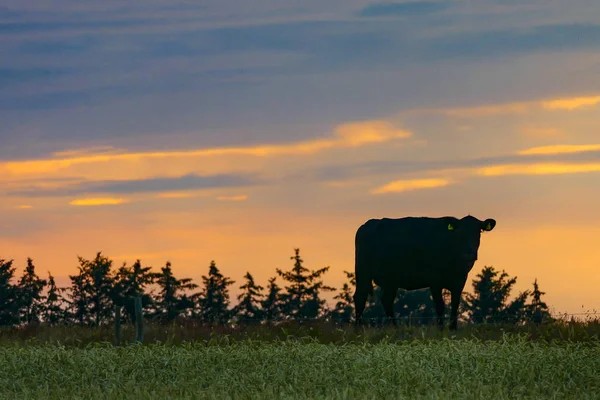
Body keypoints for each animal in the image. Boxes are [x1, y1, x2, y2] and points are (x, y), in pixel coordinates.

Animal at [352, 214, 496, 330]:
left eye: (479, 231)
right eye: (459, 232)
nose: (469, 254)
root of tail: (367, 225)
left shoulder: (460, 280)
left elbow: (455, 304)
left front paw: (453, 328)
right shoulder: (435, 280)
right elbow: (440, 305)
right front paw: (441, 329)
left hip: (391, 280)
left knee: (386, 300)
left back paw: (396, 328)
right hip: (363, 274)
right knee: (360, 298)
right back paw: (358, 330)